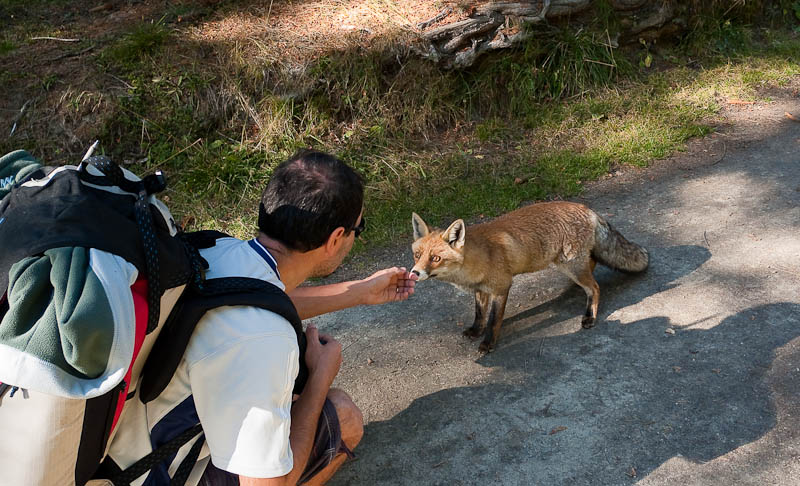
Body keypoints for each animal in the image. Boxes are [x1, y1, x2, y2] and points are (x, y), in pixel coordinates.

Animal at [410, 201, 649, 352]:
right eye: (418, 255)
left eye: (436, 258)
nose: (414, 273)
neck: (477, 260)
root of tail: (587, 209)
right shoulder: (481, 290)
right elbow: (479, 315)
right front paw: (476, 331)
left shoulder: (502, 287)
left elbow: (493, 321)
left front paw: (488, 344)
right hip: (568, 263)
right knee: (593, 265)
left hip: (571, 265)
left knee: (595, 287)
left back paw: (590, 315)